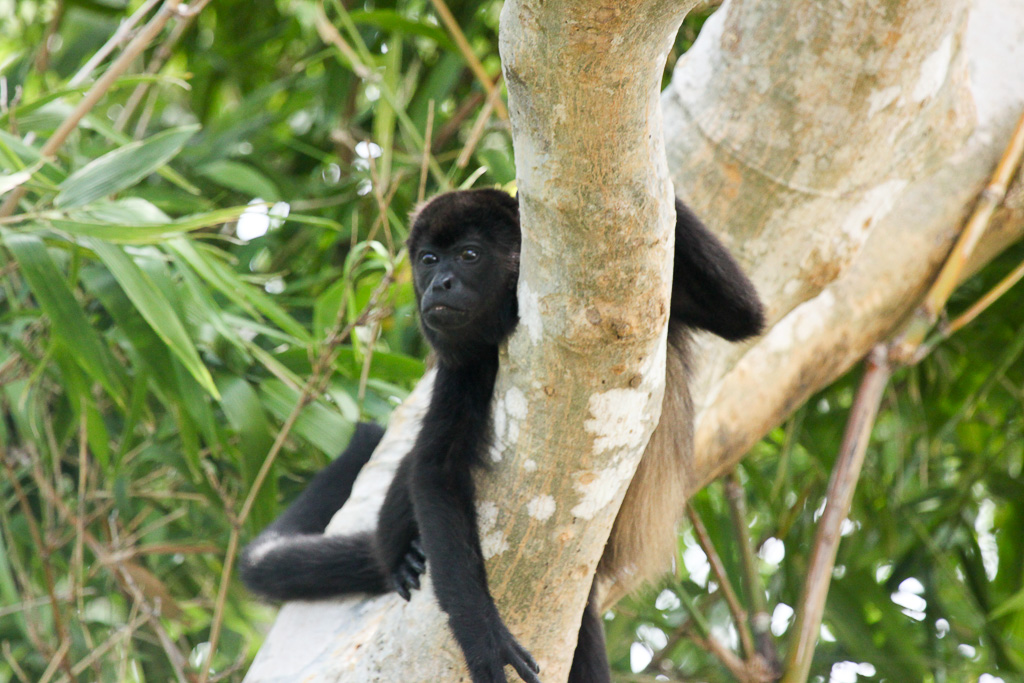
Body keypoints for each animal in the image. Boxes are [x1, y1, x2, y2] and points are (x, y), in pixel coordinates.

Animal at [240, 188, 764, 683]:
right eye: (428, 259)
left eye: (469, 255)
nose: (439, 283)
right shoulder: (466, 363)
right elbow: (434, 471)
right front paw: (483, 636)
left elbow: (741, 314)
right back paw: (403, 556)